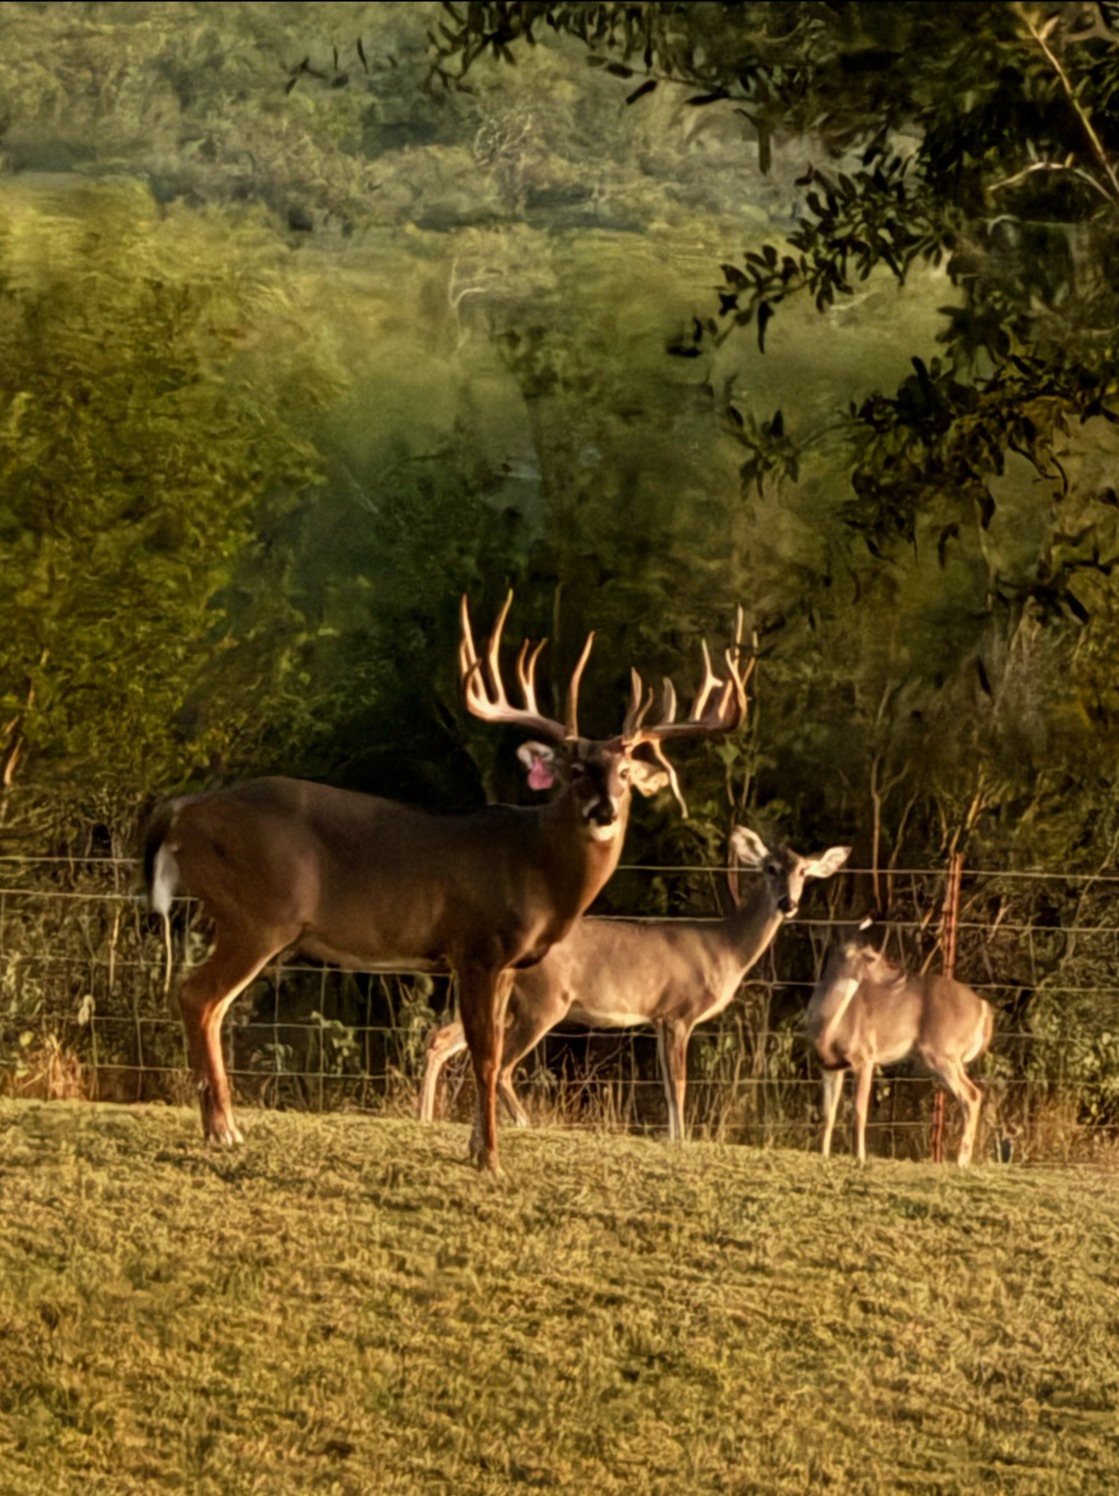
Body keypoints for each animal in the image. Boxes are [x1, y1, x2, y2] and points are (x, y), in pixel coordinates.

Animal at [143, 593, 748, 1173]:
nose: (604, 810)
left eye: (623, 773)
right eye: (575, 770)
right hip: (257, 915)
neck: (536, 866)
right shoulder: (477, 947)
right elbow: (486, 1056)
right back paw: (223, 1129)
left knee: (209, 1003)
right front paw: (491, 1159)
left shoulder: (509, 964)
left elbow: (488, 1051)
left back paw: (221, 1125)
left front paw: (477, 1145)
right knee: (197, 996)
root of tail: (182, 810)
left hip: (249, 921)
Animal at [419, 826, 851, 1141]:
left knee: (442, 1039)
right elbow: (678, 1083)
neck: (725, 949)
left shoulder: (659, 1018)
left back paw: (427, 1117)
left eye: (804, 871)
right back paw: (522, 1122)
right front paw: (682, 1140)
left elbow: (667, 1083)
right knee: (503, 1063)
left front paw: (674, 1137)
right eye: (769, 868)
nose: (788, 904)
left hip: (507, 1002)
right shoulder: (679, 1012)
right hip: (544, 1002)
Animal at [805, 925, 995, 1167]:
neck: (828, 1026)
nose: (900, 974)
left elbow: (859, 1110)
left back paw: (961, 1161)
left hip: (943, 1053)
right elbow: (827, 1114)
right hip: (947, 1059)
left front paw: (860, 1157)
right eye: (871, 957)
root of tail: (984, 1006)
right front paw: (824, 1155)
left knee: (971, 1095)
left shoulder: (865, 1056)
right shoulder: (829, 1066)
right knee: (972, 1095)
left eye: (876, 953)